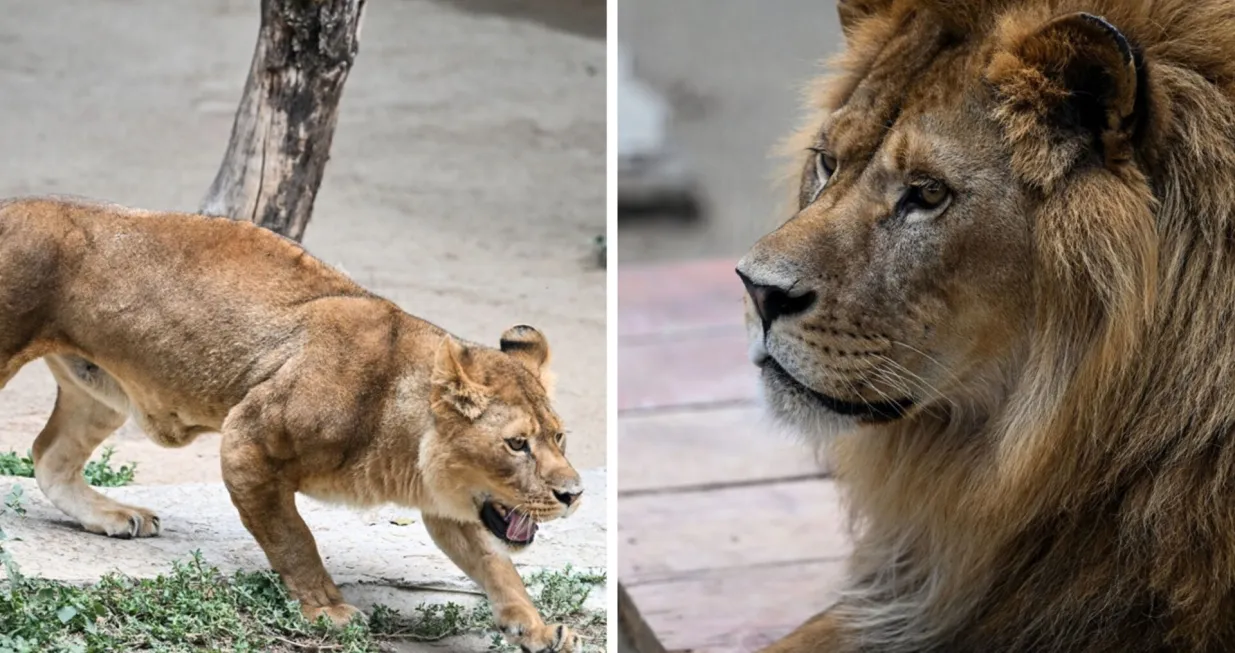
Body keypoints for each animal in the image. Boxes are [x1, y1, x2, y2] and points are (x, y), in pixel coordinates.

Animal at [0, 196, 582, 646]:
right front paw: (327, 609)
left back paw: (112, 514)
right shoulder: (247, 438)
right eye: (516, 444)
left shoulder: (453, 505)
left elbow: (495, 563)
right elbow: (293, 537)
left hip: (97, 391)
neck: (402, 437)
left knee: (48, 458)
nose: (574, 494)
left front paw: (537, 627)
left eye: (558, 437)